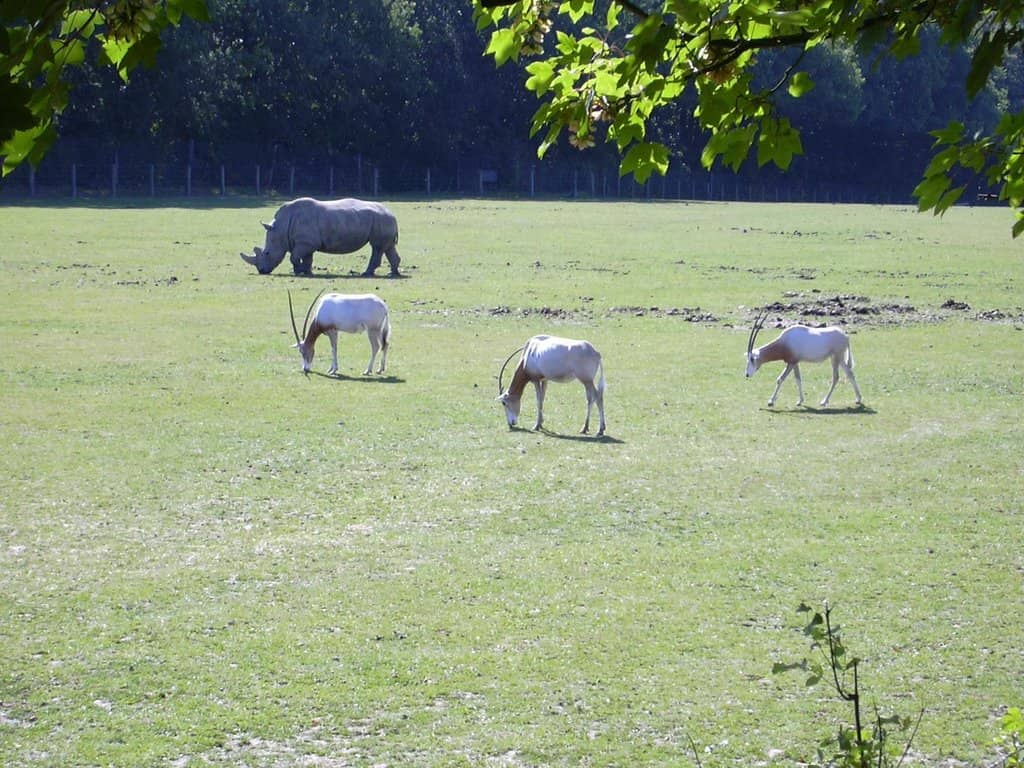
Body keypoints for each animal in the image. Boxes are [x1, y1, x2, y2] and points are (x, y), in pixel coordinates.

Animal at [239, 197, 401, 277]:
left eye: (267, 253)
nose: (261, 271)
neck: (280, 228)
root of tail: (392, 214)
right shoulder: (307, 243)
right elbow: (307, 258)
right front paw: (306, 272)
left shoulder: (306, 243)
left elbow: (294, 257)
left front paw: (298, 271)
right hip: (383, 220)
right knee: (387, 247)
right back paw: (392, 274)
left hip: (382, 219)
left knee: (377, 247)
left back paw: (366, 274)